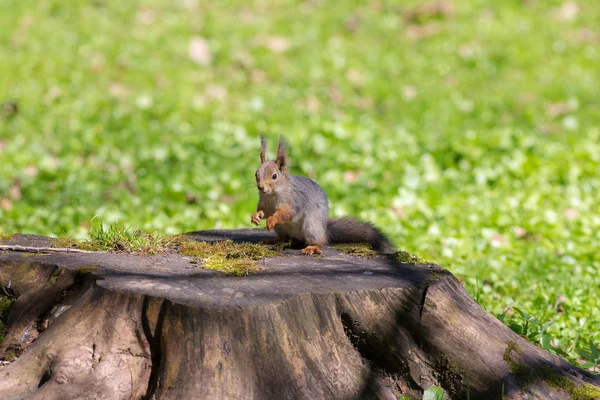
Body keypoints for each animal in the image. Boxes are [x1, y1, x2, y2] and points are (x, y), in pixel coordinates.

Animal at [251, 137, 396, 256]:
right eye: (256, 174)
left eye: (274, 176)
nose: (260, 187)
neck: (272, 195)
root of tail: (324, 230)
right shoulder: (264, 202)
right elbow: (263, 211)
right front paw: (255, 216)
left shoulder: (294, 201)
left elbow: (286, 213)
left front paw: (272, 219)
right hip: (282, 229)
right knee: (285, 238)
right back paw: (274, 240)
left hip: (311, 227)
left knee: (321, 242)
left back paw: (312, 247)